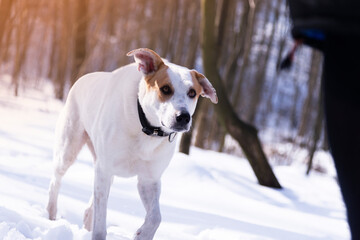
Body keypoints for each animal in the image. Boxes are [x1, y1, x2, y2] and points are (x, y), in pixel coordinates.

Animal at [46, 47, 218, 239]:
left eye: (192, 93)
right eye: (165, 89)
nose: (184, 117)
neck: (147, 129)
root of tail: (83, 78)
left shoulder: (149, 179)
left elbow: (155, 217)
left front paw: (142, 234)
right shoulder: (105, 168)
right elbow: (101, 221)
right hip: (69, 149)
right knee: (56, 181)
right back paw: (51, 215)